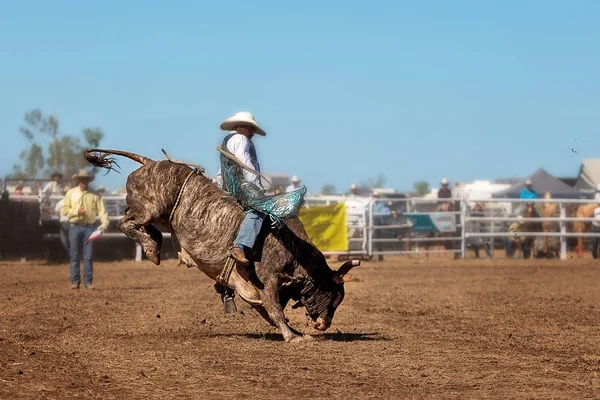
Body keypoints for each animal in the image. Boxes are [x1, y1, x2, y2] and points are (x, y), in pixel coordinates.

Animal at [82, 148, 358, 342]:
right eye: (332, 295)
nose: (324, 324)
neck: (298, 254)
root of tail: (149, 162)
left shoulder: (252, 288)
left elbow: (268, 311)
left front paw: (296, 332)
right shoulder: (268, 279)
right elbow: (275, 309)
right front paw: (293, 337)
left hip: (157, 215)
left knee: (145, 227)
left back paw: (154, 245)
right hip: (151, 208)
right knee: (125, 222)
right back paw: (150, 248)